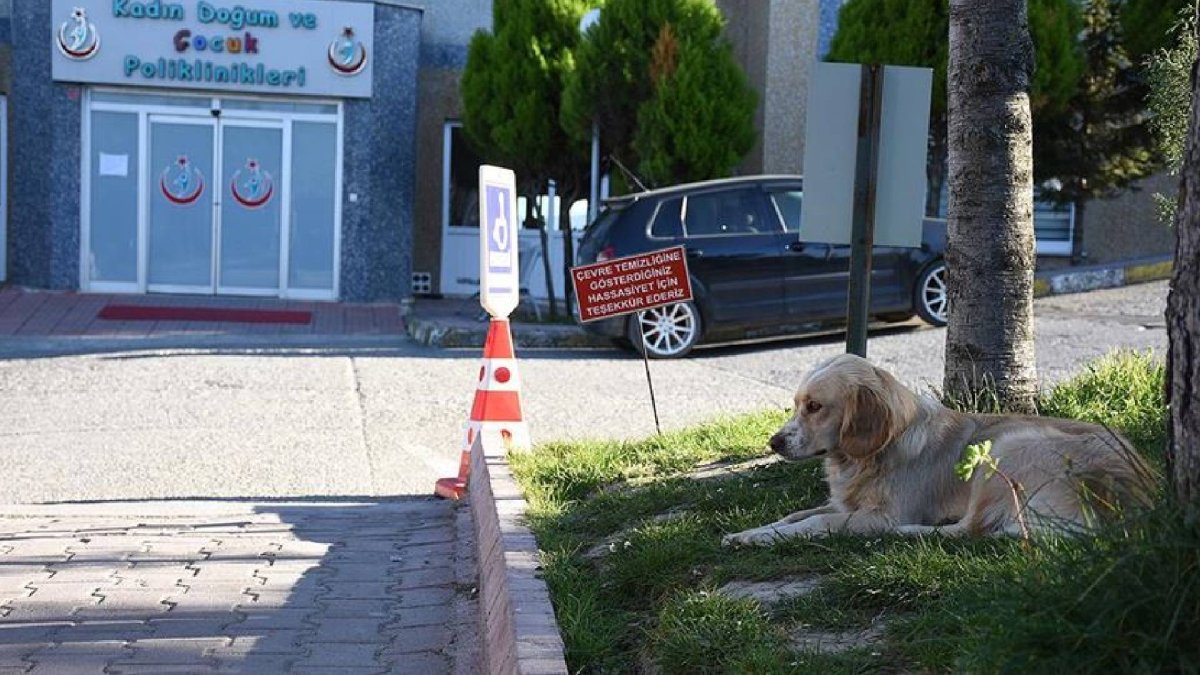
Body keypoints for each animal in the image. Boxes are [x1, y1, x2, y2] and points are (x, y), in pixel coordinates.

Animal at [720, 348, 1152, 542]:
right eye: (795, 404)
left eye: (814, 407)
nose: (774, 442)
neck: (874, 454)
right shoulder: (845, 504)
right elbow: (794, 515)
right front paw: (749, 532)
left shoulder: (880, 514)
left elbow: (814, 522)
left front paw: (756, 538)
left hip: (1008, 445)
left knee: (967, 530)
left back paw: (912, 532)